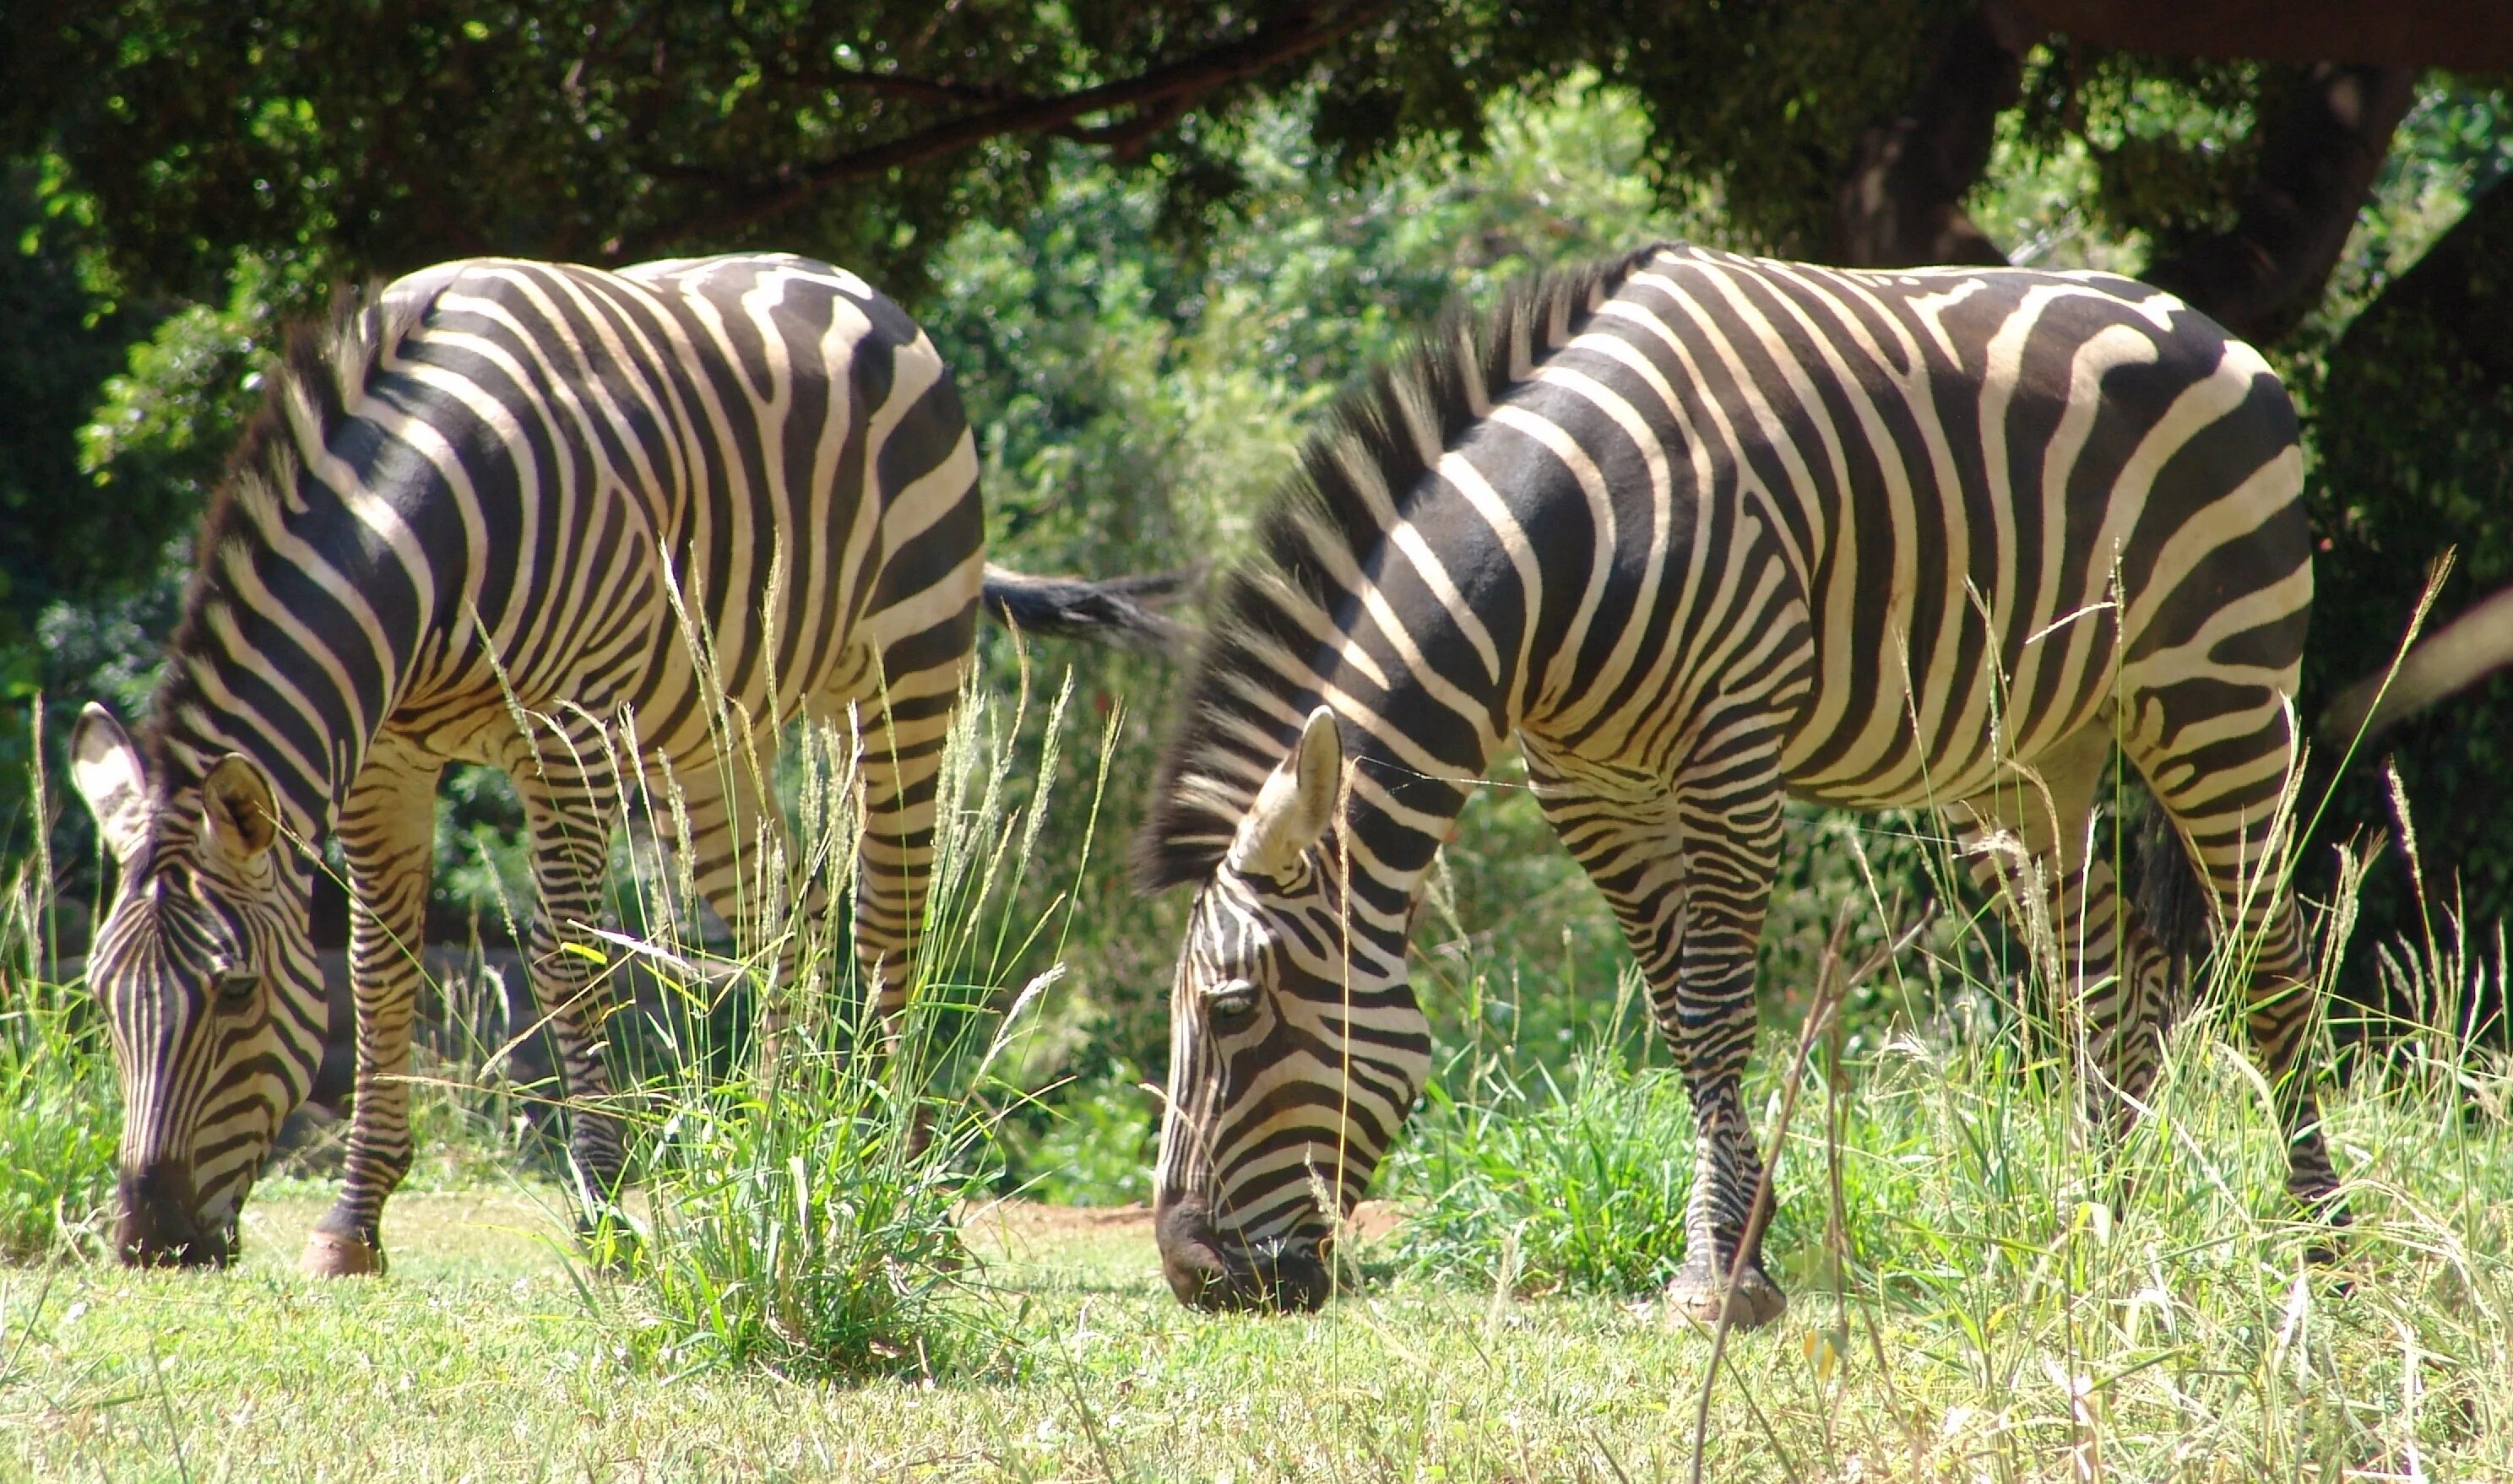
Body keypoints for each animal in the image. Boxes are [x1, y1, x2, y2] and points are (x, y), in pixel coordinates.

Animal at [63, 256, 1181, 1275]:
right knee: (790, 919)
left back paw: (902, 1191)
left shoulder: (566, 738)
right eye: (100, 997)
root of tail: (857, 287)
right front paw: (354, 1224)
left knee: (889, 932)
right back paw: (788, 1148)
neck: (432, 529)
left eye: (237, 994)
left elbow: (566, 961)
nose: (149, 1241)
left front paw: (603, 1212)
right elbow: (380, 970)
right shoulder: (385, 760)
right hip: (720, 727)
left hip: (908, 671)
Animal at [1146, 243, 2352, 1325]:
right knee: (2112, 985)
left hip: (2218, 689)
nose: (1194, 1278)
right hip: (2033, 755)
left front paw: (1713, 1275)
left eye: (1233, 1009)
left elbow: (1713, 1008)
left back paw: (2325, 1255)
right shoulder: (1586, 783)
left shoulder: (1729, 751)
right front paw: (1747, 1244)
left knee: (2273, 962)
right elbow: (1678, 1024)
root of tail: (2210, 328)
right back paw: (2094, 1236)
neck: (1562, 557)